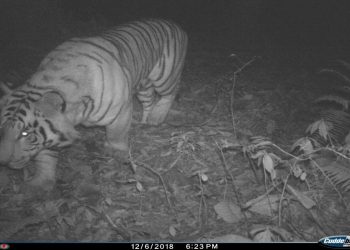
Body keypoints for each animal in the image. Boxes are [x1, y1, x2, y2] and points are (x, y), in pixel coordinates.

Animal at [0, 19, 187, 190]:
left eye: (25, 133)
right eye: (1, 129)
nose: (3, 162)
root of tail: (172, 23)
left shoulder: (120, 110)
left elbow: (116, 135)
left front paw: (117, 153)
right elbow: (45, 156)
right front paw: (40, 182)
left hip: (165, 76)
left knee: (170, 92)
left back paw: (157, 117)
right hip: (143, 85)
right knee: (149, 100)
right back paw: (145, 121)